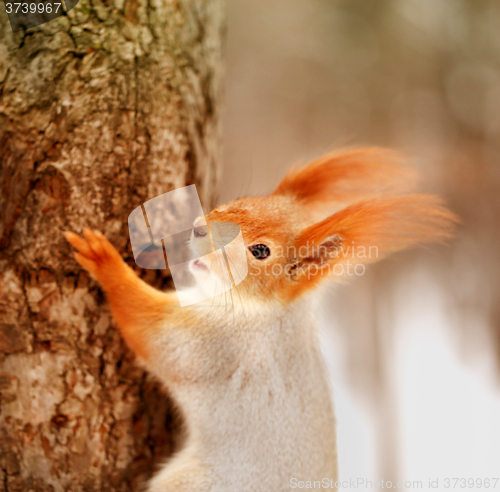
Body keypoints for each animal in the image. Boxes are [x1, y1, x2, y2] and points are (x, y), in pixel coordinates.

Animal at [63, 148, 458, 492]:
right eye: (241, 202)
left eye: (261, 251)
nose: (199, 228)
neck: (269, 310)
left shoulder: (216, 342)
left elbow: (151, 332)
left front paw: (104, 261)